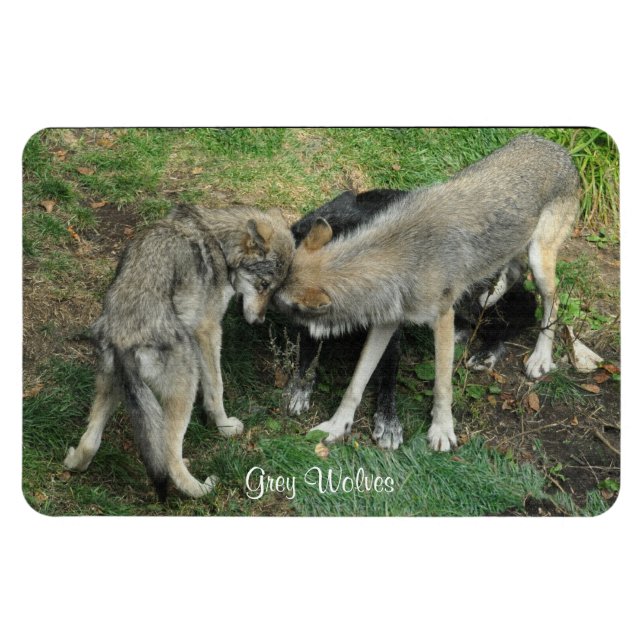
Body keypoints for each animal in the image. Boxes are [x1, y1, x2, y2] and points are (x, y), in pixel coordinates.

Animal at [64, 203, 295, 500]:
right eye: (263, 285)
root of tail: (124, 338)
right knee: (169, 458)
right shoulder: (208, 331)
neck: (219, 241)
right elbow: (216, 389)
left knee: (91, 441)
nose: (259, 322)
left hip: (113, 386)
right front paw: (225, 427)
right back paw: (201, 487)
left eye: (274, 290)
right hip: (184, 386)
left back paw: (73, 462)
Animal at [284, 188, 536, 449]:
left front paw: (388, 421)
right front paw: (300, 388)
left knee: (517, 313)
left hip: (479, 294)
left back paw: (487, 351)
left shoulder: (392, 336)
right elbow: (307, 357)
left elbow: (388, 378)